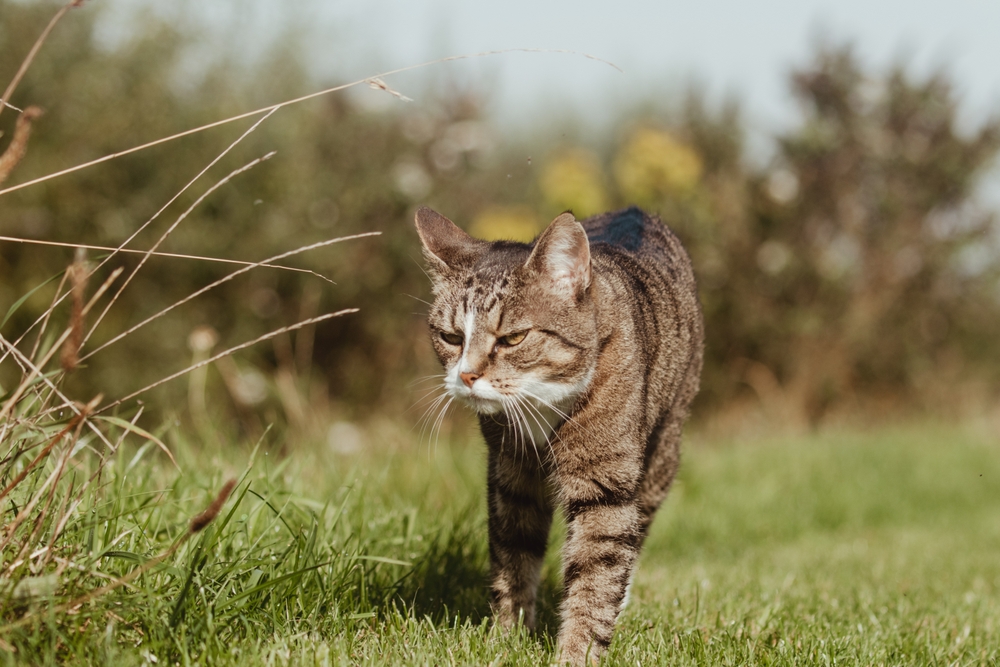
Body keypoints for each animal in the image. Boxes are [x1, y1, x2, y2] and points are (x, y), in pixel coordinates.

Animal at [414, 206, 704, 664]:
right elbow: (514, 553)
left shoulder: (604, 481)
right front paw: (508, 638)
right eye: (451, 337)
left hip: (664, 446)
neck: (539, 401)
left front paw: (576, 653)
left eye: (513, 338)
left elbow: (597, 567)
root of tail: (636, 211)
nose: (466, 375)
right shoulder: (511, 474)